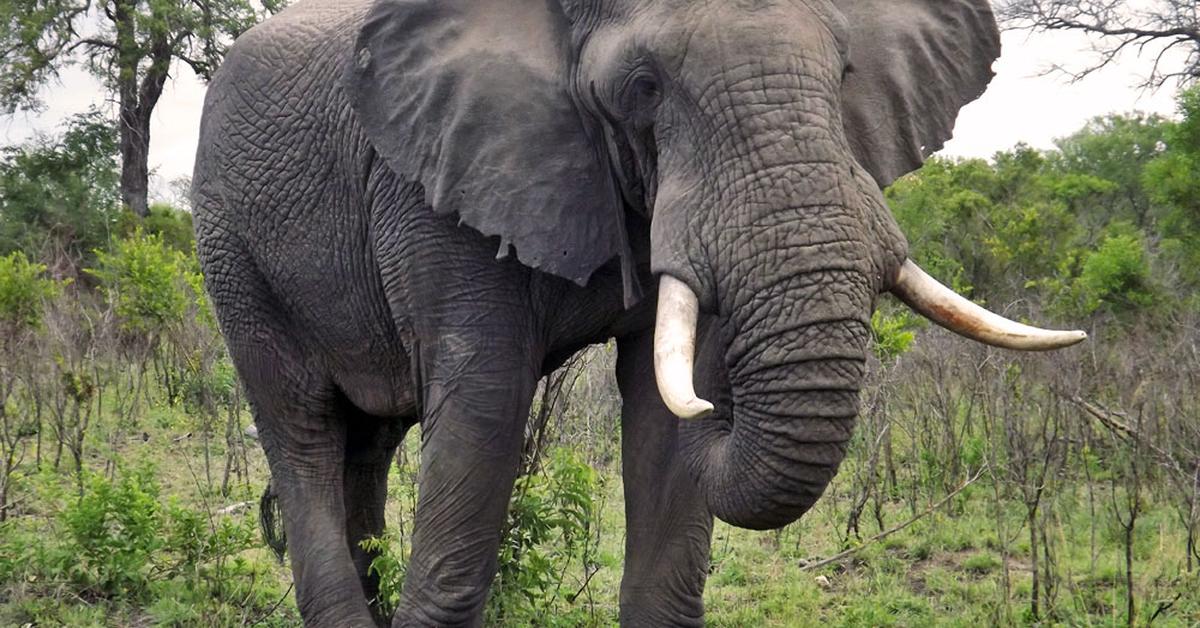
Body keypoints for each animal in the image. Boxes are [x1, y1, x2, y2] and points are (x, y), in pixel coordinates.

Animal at [192, 0, 1084, 624]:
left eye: (843, 74)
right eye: (643, 88)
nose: (724, 412)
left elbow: (661, 423)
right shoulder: (434, 180)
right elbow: (484, 410)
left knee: (367, 444)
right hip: (230, 249)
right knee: (303, 428)